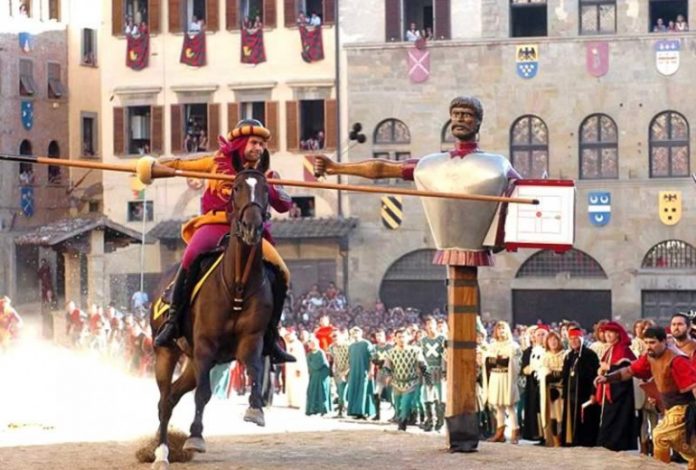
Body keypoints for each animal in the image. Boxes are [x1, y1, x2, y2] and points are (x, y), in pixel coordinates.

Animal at [151, 152, 274, 468]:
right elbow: (204, 394)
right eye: (236, 188)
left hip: (193, 361)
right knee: (164, 399)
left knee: (173, 396)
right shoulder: (205, 345)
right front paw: (195, 436)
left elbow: (255, 369)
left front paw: (256, 409)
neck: (237, 284)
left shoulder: (251, 340)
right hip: (168, 351)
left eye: (266, 190)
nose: (252, 227)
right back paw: (161, 452)